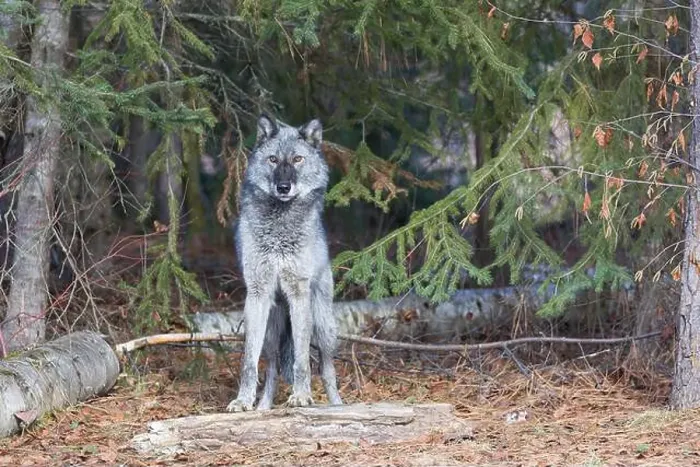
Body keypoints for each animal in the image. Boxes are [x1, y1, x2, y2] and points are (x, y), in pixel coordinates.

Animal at [226, 114, 343, 412]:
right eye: (273, 160)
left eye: (298, 159)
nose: (283, 187)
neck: (279, 228)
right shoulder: (257, 294)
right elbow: (249, 362)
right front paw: (243, 401)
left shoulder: (298, 293)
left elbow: (302, 361)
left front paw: (301, 396)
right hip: (271, 333)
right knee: (272, 370)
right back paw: (263, 408)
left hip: (324, 327)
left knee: (327, 370)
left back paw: (338, 406)